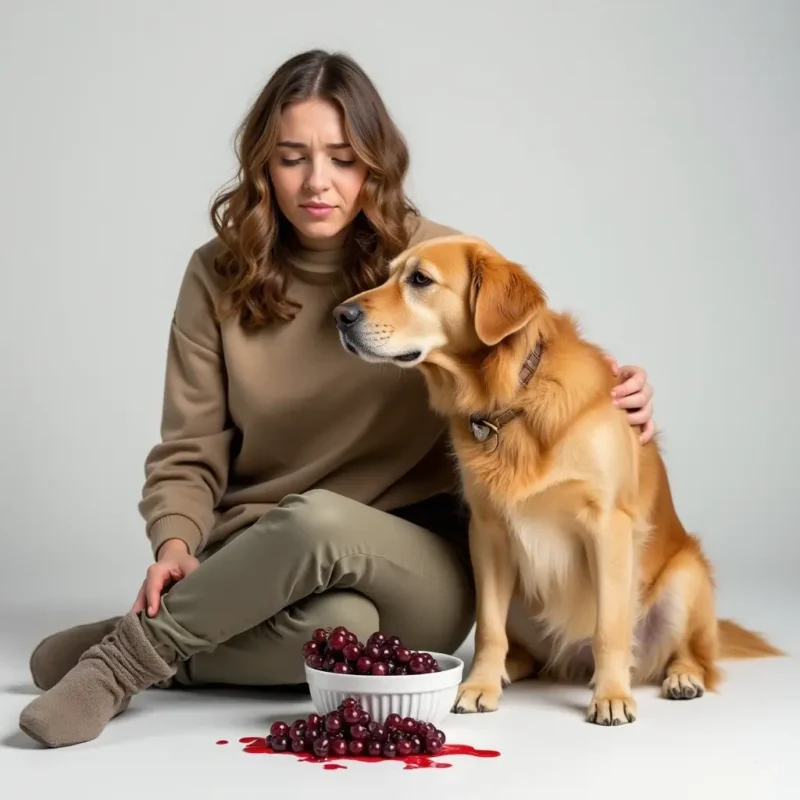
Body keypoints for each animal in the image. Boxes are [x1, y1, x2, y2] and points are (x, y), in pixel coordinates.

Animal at [334, 233, 784, 724]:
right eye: (387, 275)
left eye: (420, 280)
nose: (340, 315)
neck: (513, 397)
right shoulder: (487, 532)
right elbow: (489, 629)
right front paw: (479, 685)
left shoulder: (607, 526)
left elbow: (610, 628)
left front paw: (611, 695)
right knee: (524, 651)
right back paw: (504, 671)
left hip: (686, 577)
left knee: (692, 654)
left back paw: (681, 676)